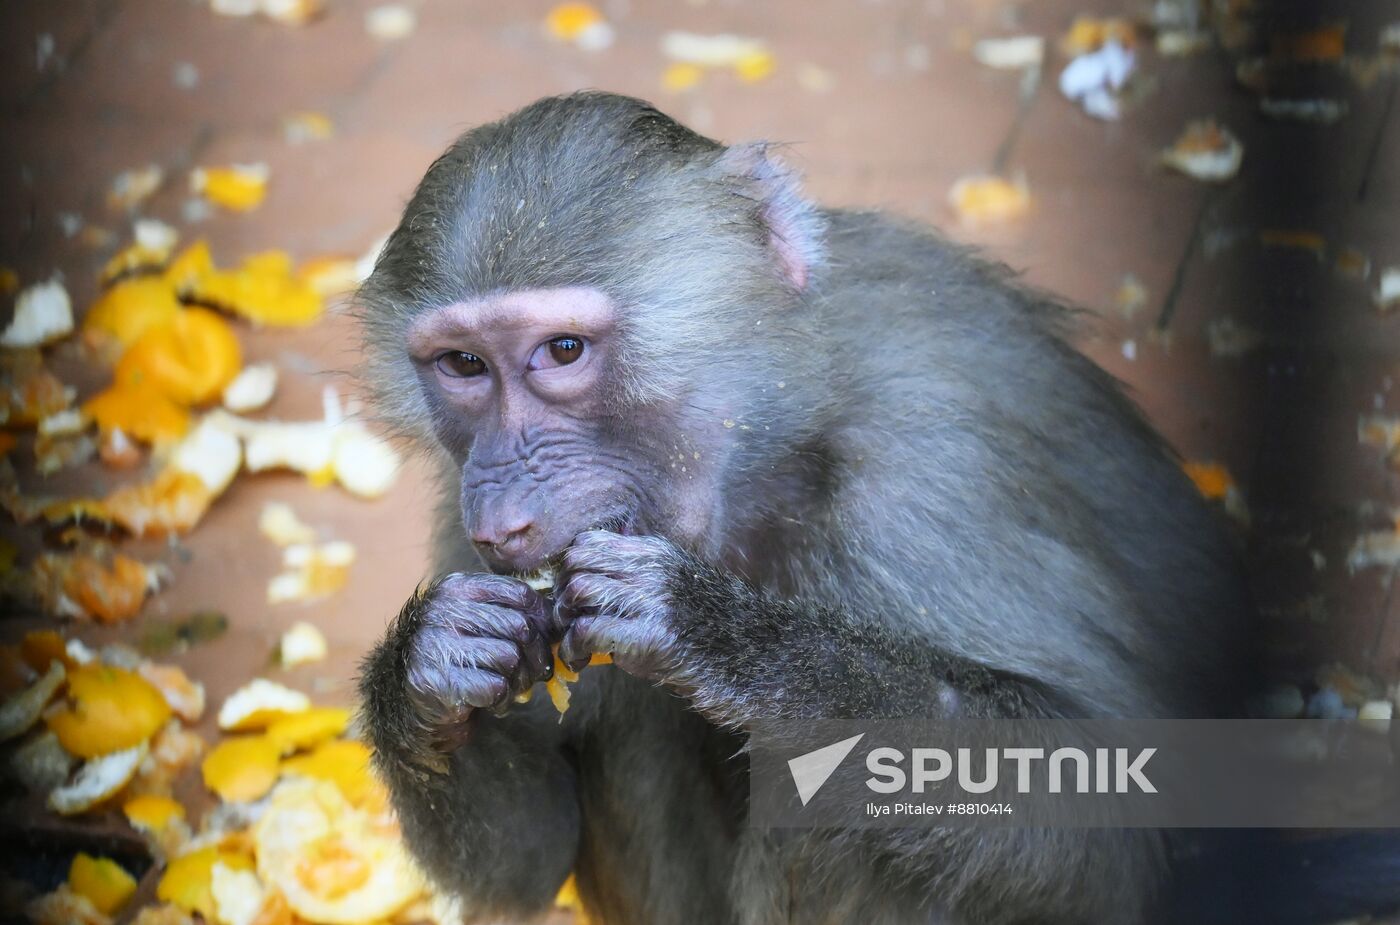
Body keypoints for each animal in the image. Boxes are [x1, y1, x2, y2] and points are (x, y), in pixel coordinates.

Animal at [355, 88, 1254, 923]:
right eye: (463, 365)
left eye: (562, 351)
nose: (500, 508)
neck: (772, 439)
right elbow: (532, 855)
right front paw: (429, 663)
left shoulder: (928, 469)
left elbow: (1106, 802)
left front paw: (736, 643)